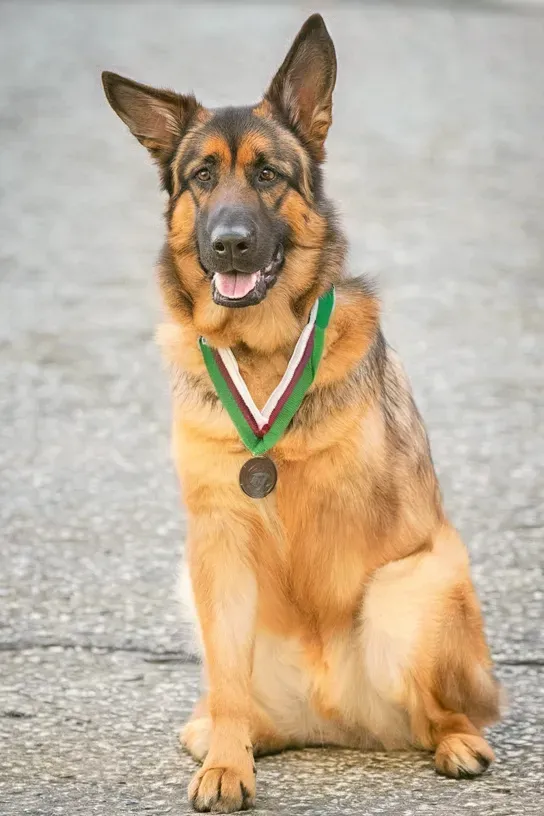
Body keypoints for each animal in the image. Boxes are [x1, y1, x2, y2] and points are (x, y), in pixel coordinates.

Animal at [103, 14, 502, 816]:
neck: (260, 353)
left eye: (267, 175)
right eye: (201, 177)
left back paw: (457, 741)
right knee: (236, 698)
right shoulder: (218, 540)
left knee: (441, 709)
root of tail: (335, 721)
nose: (228, 243)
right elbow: (226, 682)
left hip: (416, 582)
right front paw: (227, 766)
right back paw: (234, 737)